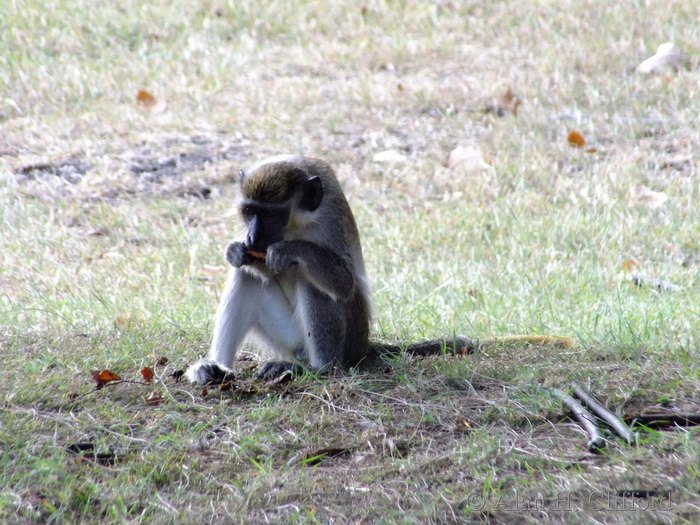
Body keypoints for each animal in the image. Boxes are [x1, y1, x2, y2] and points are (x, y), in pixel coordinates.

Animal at [186, 156, 575, 385]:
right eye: (249, 212)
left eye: (271, 214)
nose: (252, 236)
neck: (299, 223)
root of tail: (363, 345)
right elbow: (255, 268)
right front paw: (236, 249)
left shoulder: (330, 218)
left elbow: (342, 281)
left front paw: (289, 251)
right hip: (287, 340)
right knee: (246, 276)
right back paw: (216, 368)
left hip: (345, 340)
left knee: (318, 287)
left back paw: (319, 368)